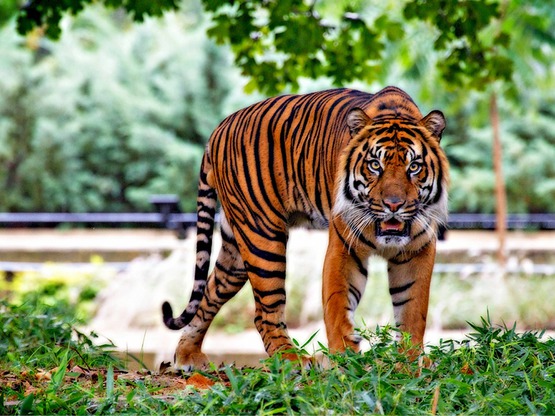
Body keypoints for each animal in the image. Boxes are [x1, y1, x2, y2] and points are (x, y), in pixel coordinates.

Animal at [163, 86, 450, 368]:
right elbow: (338, 305)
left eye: (414, 167)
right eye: (375, 165)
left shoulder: (417, 250)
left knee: (210, 293)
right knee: (264, 312)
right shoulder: (344, 247)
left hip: (235, 251)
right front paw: (345, 360)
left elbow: (413, 310)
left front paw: (409, 362)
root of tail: (219, 128)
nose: (393, 205)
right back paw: (292, 359)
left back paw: (187, 355)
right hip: (262, 238)